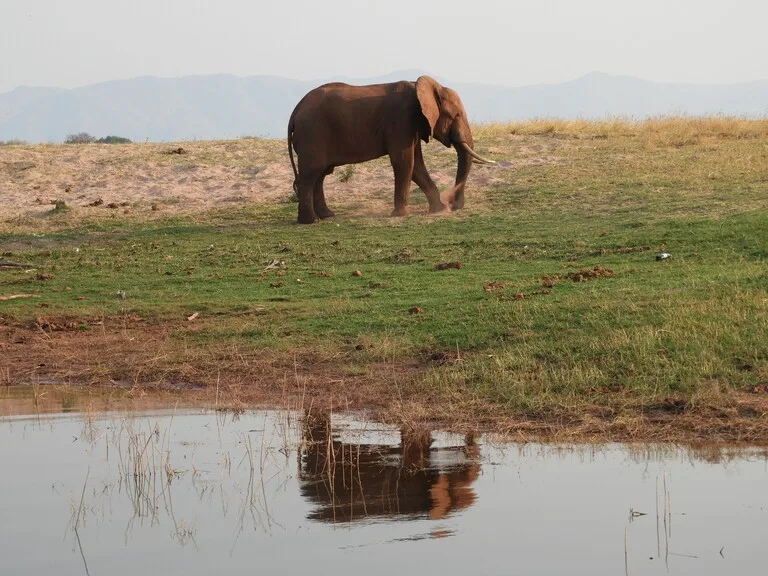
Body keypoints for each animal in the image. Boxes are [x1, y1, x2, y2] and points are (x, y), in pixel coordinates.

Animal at [286, 74, 492, 223]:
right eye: (456, 115)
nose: (455, 204)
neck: (420, 86)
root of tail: (295, 111)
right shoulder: (401, 120)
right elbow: (405, 161)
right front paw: (401, 215)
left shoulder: (412, 125)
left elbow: (416, 165)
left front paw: (439, 210)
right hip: (313, 134)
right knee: (311, 174)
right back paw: (310, 221)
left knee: (320, 175)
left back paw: (327, 216)